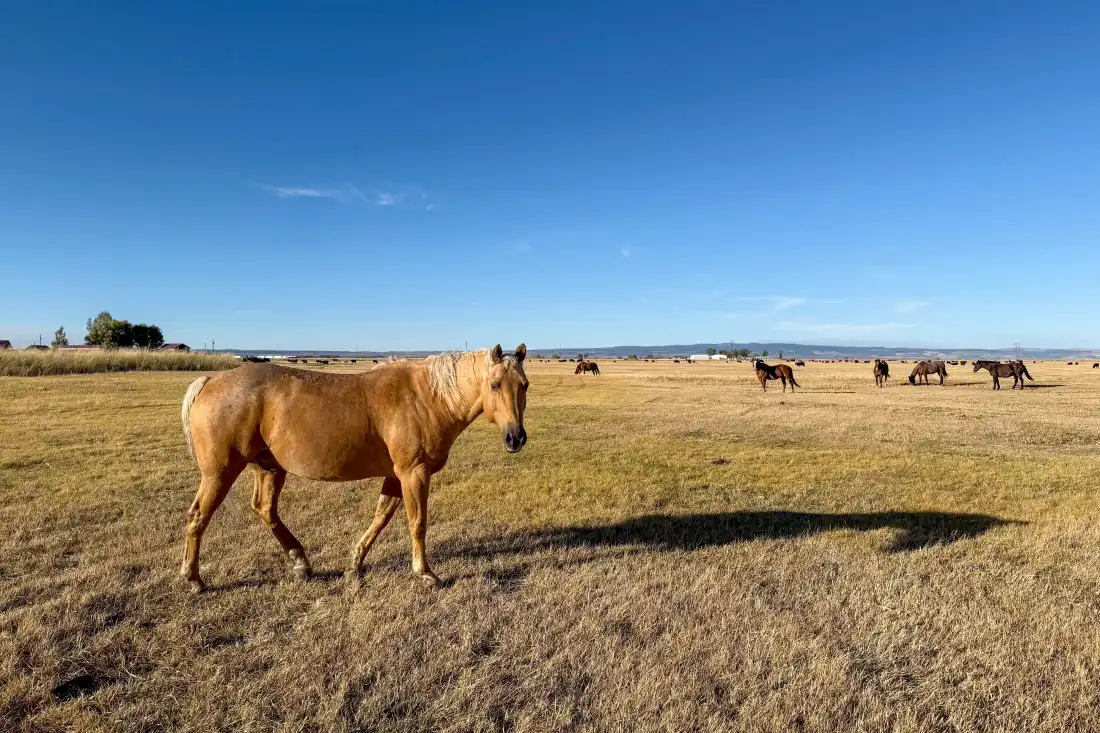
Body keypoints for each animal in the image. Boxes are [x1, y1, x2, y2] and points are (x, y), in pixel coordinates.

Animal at [179, 344, 529, 593]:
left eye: (524, 385)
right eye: (495, 385)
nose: (516, 438)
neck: (427, 397)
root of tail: (211, 380)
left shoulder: (395, 475)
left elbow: (380, 518)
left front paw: (355, 563)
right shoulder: (413, 473)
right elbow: (417, 523)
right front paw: (425, 573)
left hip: (269, 468)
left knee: (265, 510)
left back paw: (300, 562)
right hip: (220, 473)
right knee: (198, 517)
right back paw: (193, 579)